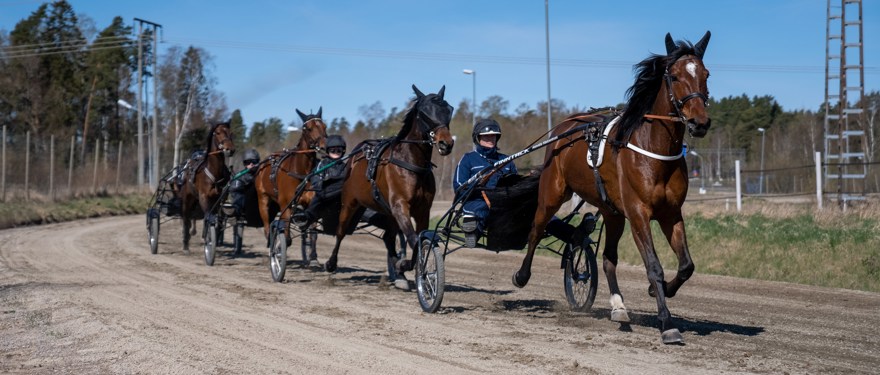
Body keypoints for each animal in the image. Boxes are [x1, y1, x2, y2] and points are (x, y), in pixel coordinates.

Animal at [179, 122, 237, 254]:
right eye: (218, 133)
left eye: (230, 133)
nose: (230, 149)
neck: (214, 172)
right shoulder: (204, 197)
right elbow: (208, 217)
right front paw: (208, 240)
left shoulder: (220, 200)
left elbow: (217, 219)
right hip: (187, 198)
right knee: (186, 218)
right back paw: (185, 244)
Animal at [326, 84, 458, 288]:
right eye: (424, 113)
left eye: (449, 110)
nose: (446, 143)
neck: (411, 163)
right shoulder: (400, 205)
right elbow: (414, 240)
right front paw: (411, 268)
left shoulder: (422, 210)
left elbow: (418, 239)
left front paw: (404, 266)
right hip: (349, 202)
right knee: (340, 232)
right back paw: (331, 264)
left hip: (386, 210)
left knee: (388, 237)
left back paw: (399, 272)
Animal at [512, 30, 712, 346]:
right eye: (675, 76)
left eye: (706, 74)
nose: (699, 122)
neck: (654, 151)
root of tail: (567, 125)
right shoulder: (639, 213)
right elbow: (653, 266)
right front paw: (667, 323)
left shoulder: (670, 213)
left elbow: (686, 265)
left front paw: (660, 291)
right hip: (553, 192)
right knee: (535, 229)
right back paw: (522, 275)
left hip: (613, 212)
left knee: (607, 259)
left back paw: (619, 307)